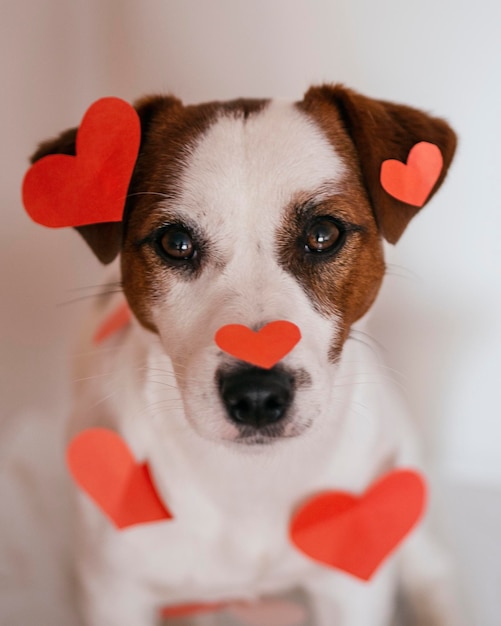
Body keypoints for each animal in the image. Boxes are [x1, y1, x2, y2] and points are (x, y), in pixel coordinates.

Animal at [29, 84, 458, 624]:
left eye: (323, 233)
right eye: (175, 241)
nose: (256, 396)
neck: (249, 480)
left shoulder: (348, 587)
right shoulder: (115, 591)